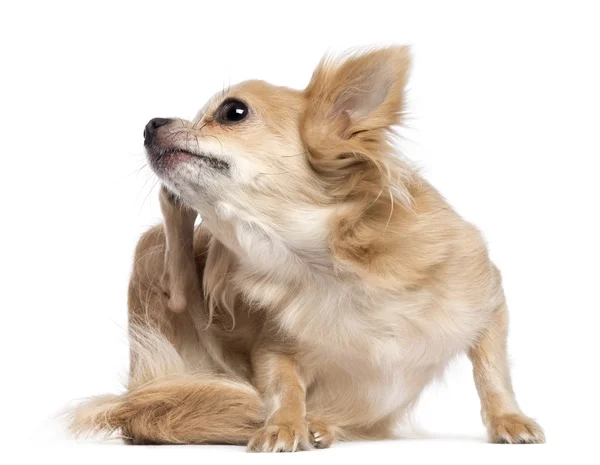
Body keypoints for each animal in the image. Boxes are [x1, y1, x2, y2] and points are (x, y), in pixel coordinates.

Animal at [70, 46, 544, 450]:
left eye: (232, 112)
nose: (151, 123)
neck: (317, 263)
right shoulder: (272, 349)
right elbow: (286, 386)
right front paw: (284, 424)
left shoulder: (487, 298)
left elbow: (493, 371)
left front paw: (510, 420)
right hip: (152, 253)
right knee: (178, 288)